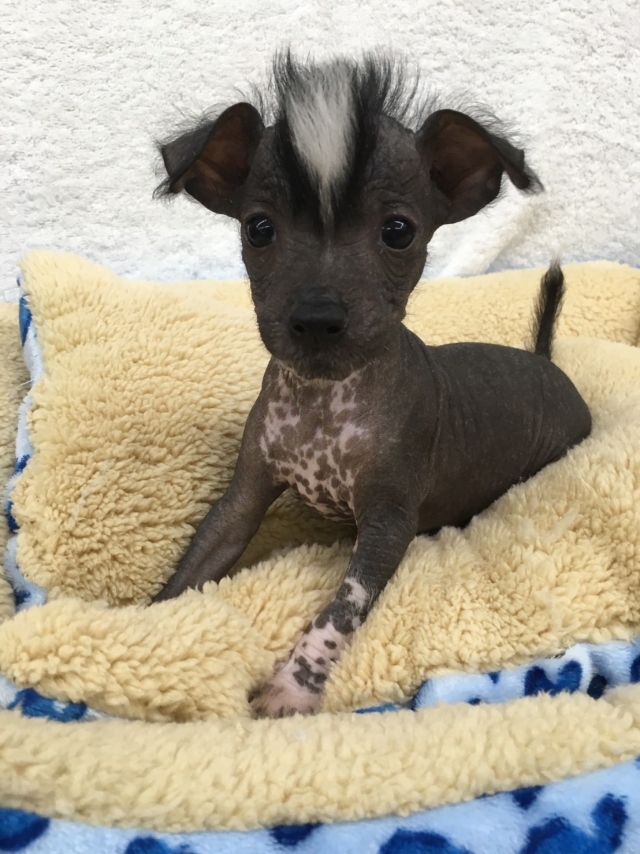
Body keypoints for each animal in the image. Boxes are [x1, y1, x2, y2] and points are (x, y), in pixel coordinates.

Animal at [153, 53, 592, 718]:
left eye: (398, 231)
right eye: (259, 229)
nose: (317, 316)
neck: (323, 402)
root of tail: (548, 364)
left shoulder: (389, 524)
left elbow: (340, 610)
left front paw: (292, 686)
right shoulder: (244, 496)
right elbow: (193, 566)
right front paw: (140, 625)